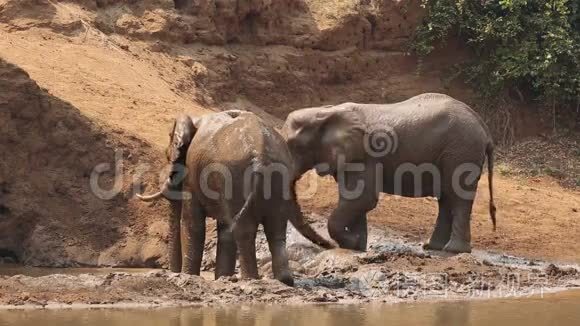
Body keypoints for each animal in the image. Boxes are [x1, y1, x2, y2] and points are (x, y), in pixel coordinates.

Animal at [138, 109, 334, 286]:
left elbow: (193, 223)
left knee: (244, 228)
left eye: (169, 156)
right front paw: (221, 278)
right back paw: (284, 280)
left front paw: (190, 276)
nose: (173, 272)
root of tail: (260, 154)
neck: (195, 118)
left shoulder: (193, 175)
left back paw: (250, 279)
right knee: (275, 228)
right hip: (274, 180)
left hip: (234, 176)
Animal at [280, 93, 494, 253]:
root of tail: (483, 126)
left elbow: (362, 199)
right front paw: (357, 246)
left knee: (458, 197)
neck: (326, 111)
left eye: (292, 147)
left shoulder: (364, 156)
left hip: (462, 151)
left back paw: (453, 250)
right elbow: (355, 199)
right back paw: (432, 247)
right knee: (446, 198)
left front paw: (352, 243)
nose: (328, 245)